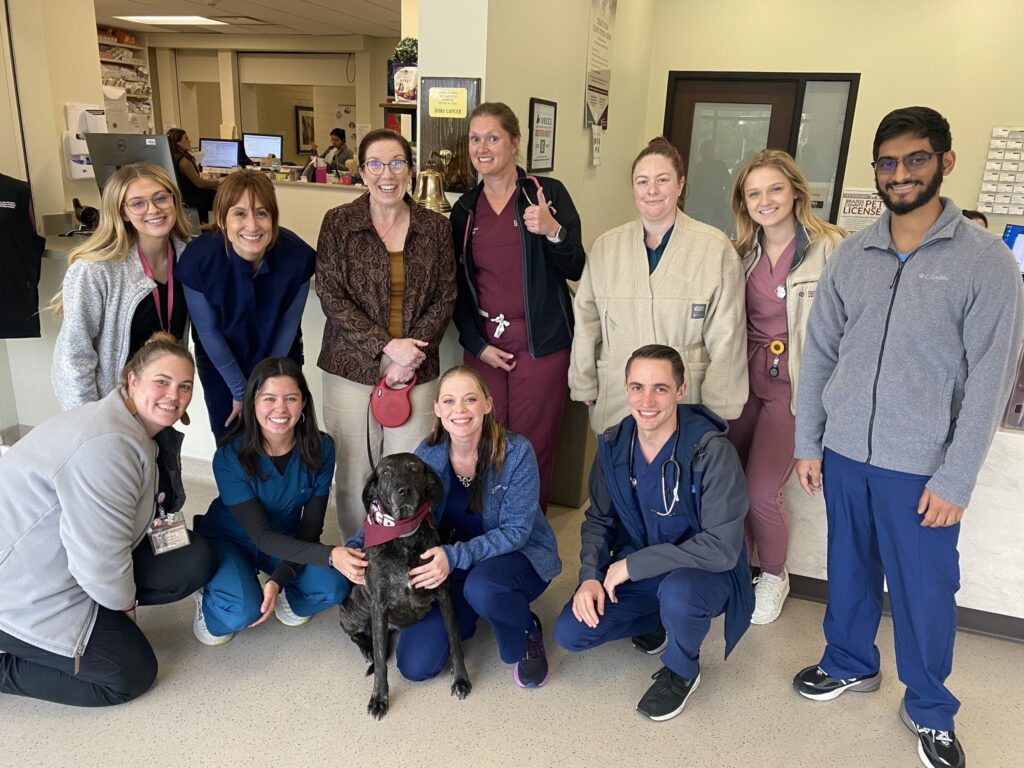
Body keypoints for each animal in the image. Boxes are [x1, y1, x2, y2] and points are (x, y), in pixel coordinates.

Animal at [342, 454, 473, 720]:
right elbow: (381, 664)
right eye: (386, 473)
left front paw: (460, 679)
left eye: (414, 469)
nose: (404, 491)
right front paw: (379, 698)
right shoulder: (379, 606)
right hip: (351, 608)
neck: (403, 538)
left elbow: (454, 640)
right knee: (357, 635)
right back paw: (366, 648)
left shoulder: (444, 594)